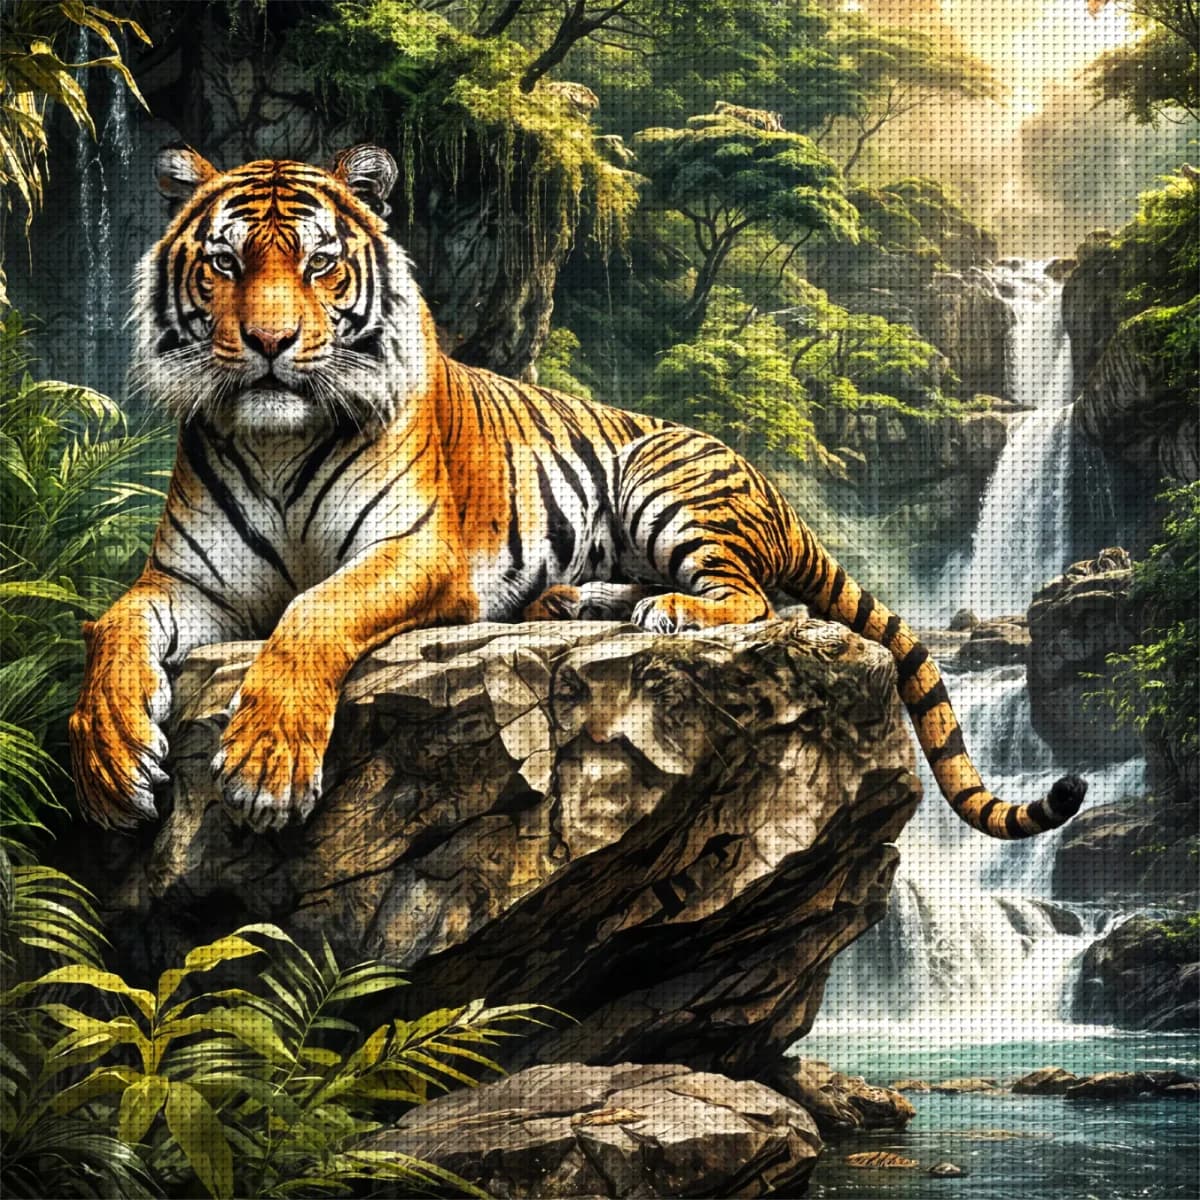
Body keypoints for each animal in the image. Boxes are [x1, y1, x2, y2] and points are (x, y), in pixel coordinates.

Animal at [69, 144, 1087, 839]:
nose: (272, 343)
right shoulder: (187, 584)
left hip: (659, 477)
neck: (275, 441)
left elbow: (314, 611)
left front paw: (266, 766)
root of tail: (774, 486)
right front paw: (111, 759)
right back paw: (567, 600)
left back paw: (668, 611)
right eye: (226, 263)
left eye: (320, 262)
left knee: (750, 597)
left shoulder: (418, 553)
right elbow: (115, 624)